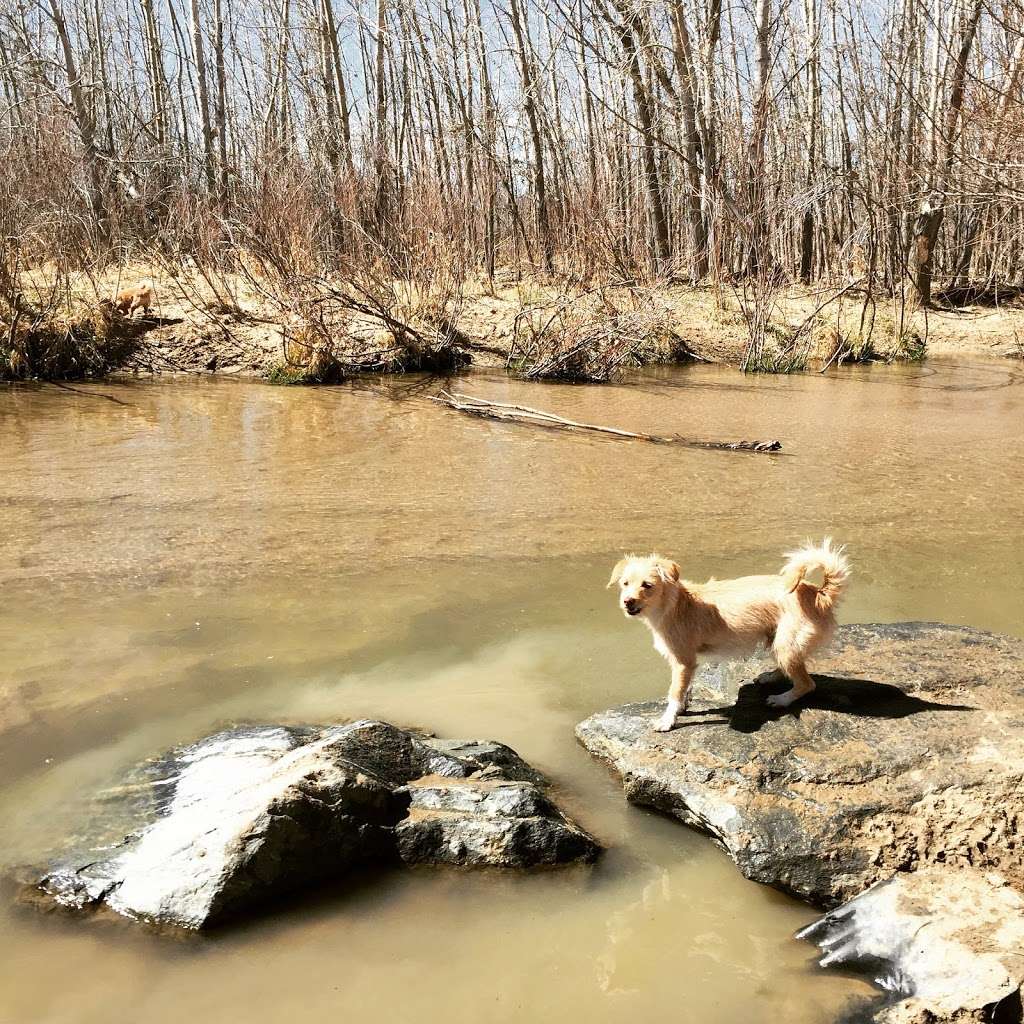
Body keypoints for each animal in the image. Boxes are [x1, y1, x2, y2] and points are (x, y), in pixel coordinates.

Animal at [606, 540, 847, 733]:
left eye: (647, 585)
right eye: (625, 583)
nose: (627, 601)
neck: (672, 605)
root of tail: (819, 594)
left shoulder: (683, 662)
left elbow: (674, 692)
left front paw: (667, 720)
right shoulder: (690, 663)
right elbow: (685, 689)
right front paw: (683, 707)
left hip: (786, 643)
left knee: (807, 683)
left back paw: (781, 699)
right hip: (777, 640)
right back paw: (770, 676)